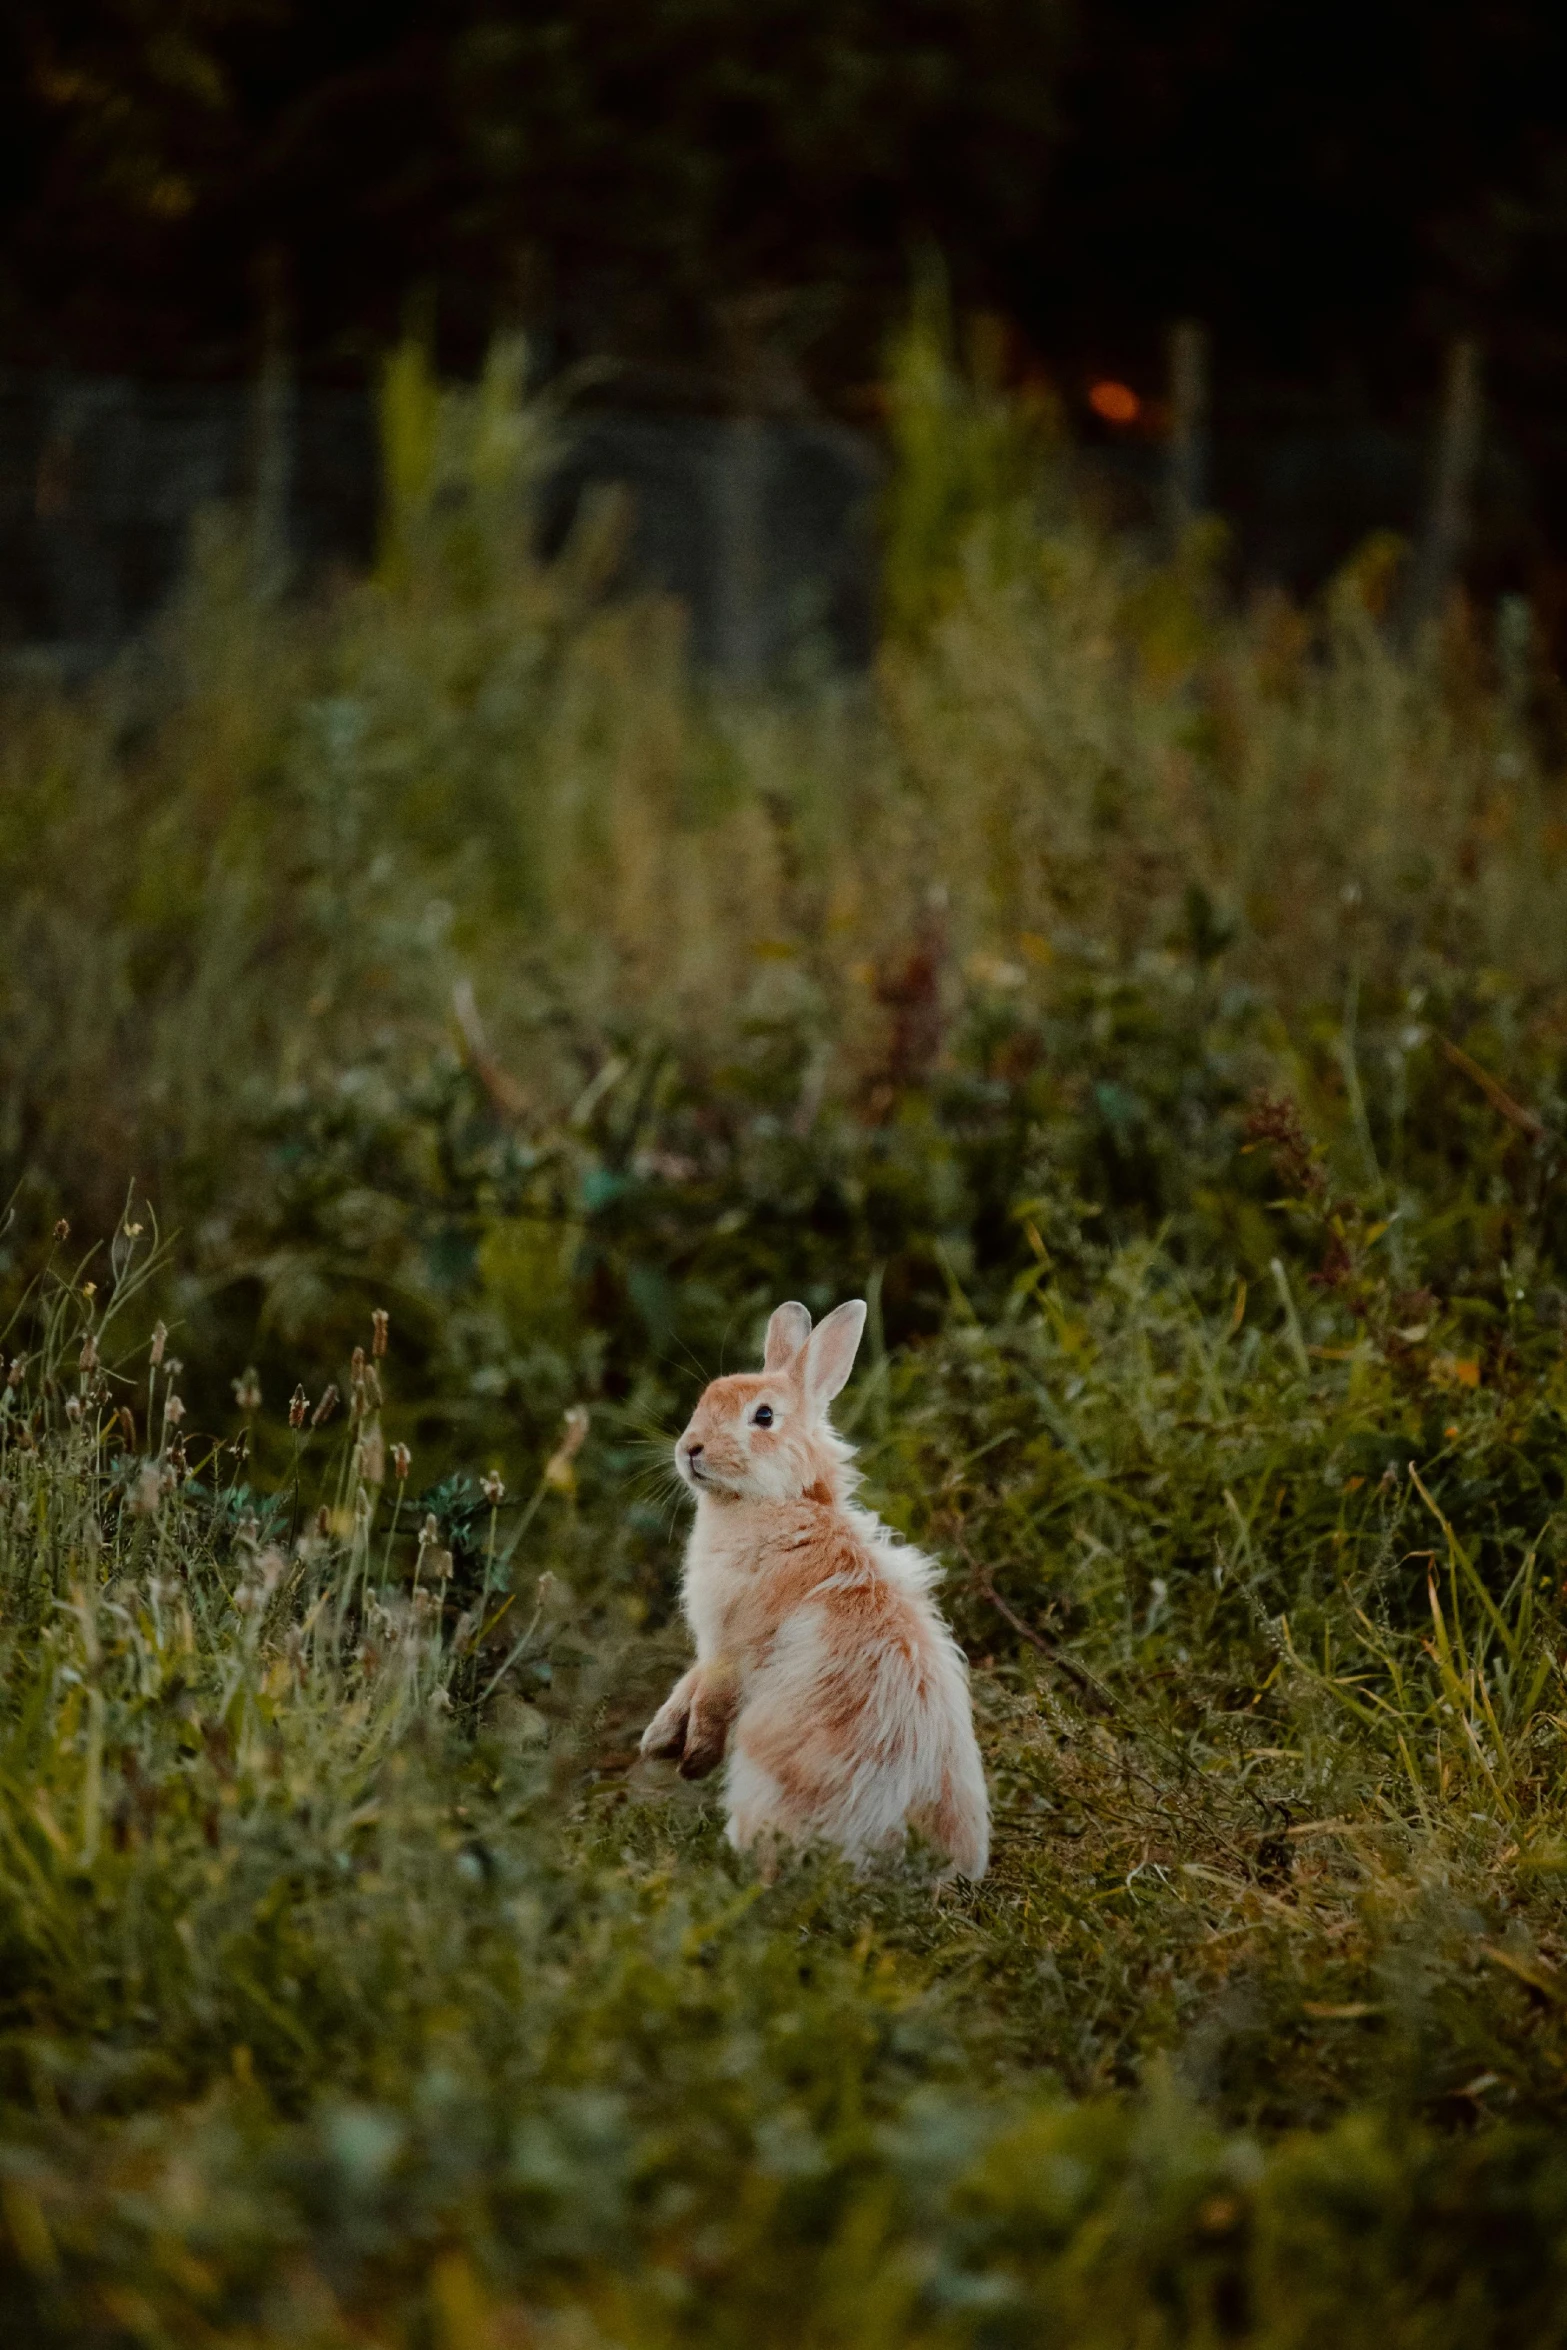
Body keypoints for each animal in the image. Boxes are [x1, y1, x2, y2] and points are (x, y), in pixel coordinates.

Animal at [639, 1297, 986, 1879]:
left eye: (763, 1417)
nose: (690, 1449)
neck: (782, 1504)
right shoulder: (711, 1645)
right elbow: (687, 1684)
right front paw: (657, 1742)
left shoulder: (731, 1644)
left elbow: (710, 1696)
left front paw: (692, 1758)